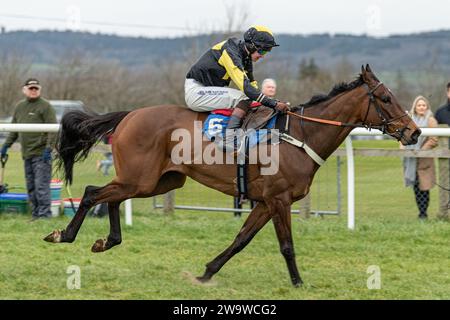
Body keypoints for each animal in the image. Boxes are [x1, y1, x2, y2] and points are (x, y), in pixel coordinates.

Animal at [44, 65, 420, 288]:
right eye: (385, 97)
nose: (414, 132)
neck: (299, 134)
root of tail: (128, 115)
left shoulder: (265, 202)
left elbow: (241, 239)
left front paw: (206, 272)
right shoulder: (279, 199)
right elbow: (286, 246)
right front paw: (298, 283)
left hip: (158, 180)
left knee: (111, 197)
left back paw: (107, 240)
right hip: (142, 178)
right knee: (92, 192)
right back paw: (64, 234)